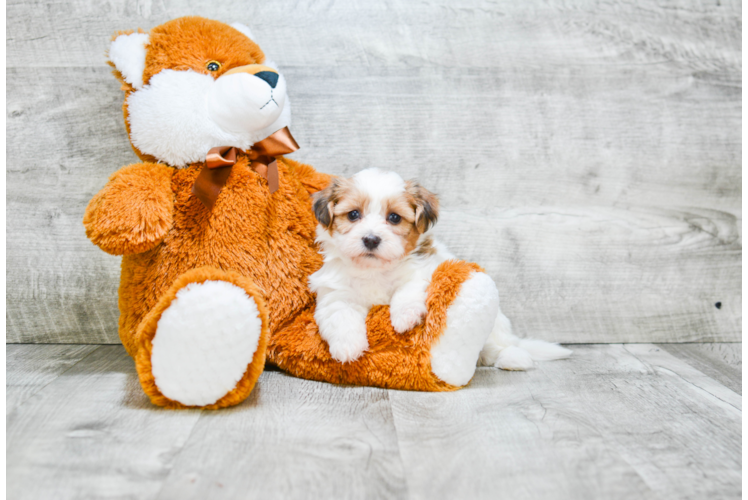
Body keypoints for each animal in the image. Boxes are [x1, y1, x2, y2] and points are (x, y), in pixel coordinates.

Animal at [310, 168, 572, 368]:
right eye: (353, 214)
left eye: (394, 218)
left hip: (496, 328)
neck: (374, 269)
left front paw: (404, 317)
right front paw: (348, 348)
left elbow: (408, 289)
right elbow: (340, 315)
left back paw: (513, 357)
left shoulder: (425, 269)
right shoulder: (336, 293)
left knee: (497, 345)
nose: (371, 239)